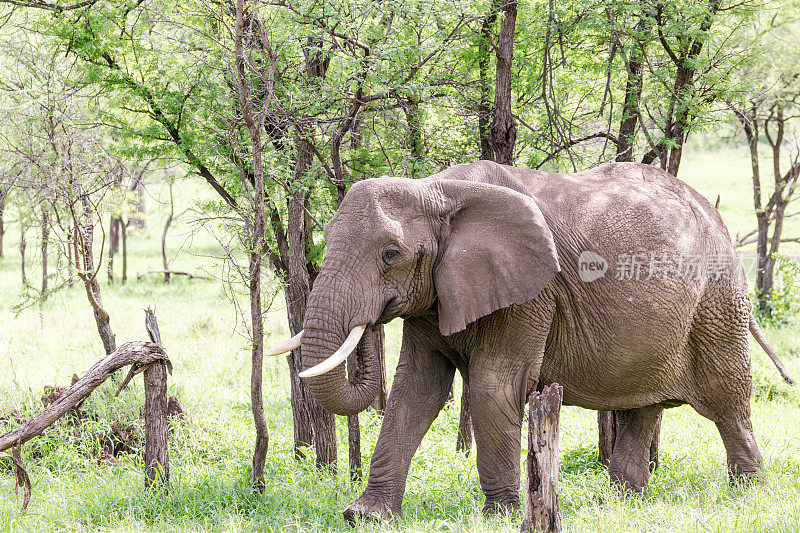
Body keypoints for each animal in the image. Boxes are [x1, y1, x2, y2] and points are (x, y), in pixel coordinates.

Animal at [266, 160, 792, 520]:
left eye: (390, 254)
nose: (371, 319)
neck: (438, 189)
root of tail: (713, 214)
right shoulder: (438, 293)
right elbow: (416, 390)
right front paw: (366, 516)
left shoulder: (531, 294)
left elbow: (493, 387)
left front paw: (498, 516)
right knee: (640, 407)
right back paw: (620, 501)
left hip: (718, 303)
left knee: (728, 399)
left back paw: (749, 494)